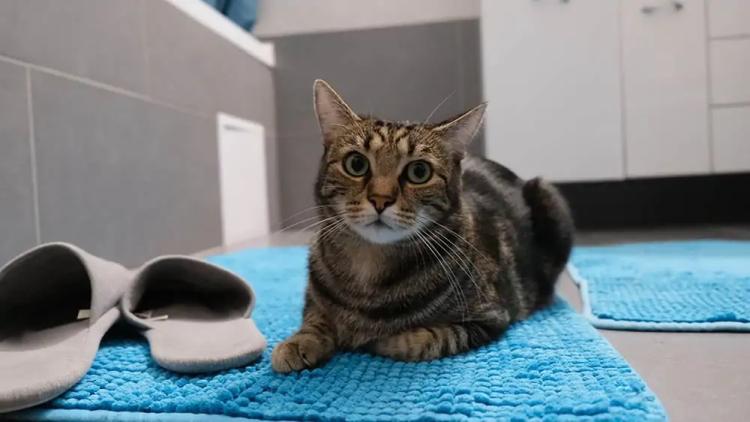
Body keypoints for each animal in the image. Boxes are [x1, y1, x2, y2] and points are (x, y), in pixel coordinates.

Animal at [274, 79, 572, 372]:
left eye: (419, 172)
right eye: (356, 164)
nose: (380, 199)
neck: (368, 267)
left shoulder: (490, 316)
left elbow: (425, 339)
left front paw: (380, 339)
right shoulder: (313, 298)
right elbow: (315, 317)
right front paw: (298, 342)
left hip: (549, 197)